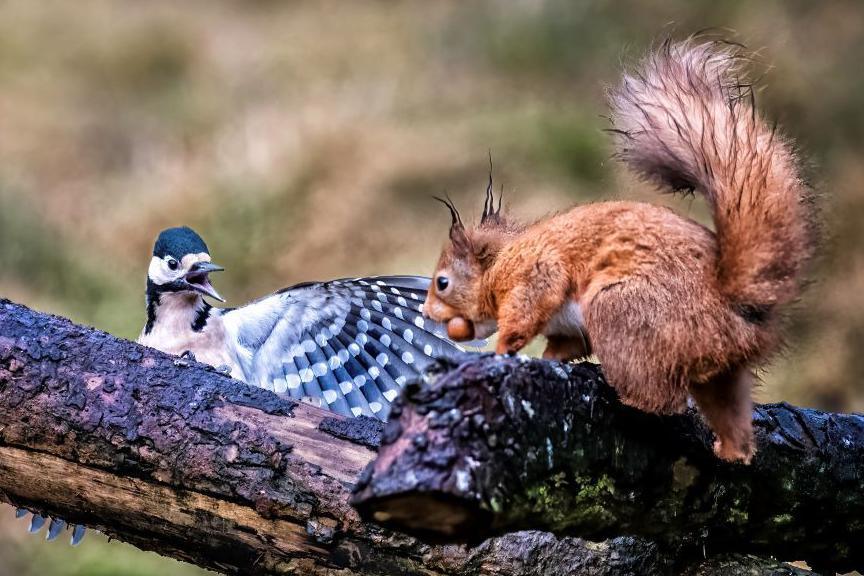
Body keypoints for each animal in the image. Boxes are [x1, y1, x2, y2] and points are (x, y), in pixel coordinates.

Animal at [426, 39, 816, 464]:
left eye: (443, 282)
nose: (426, 313)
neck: (501, 257)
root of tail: (733, 305)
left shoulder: (535, 273)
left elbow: (525, 316)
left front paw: (499, 351)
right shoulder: (568, 328)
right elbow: (566, 346)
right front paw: (546, 362)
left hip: (621, 312)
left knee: (662, 399)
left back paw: (627, 400)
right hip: (723, 373)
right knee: (728, 413)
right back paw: (729, 451)